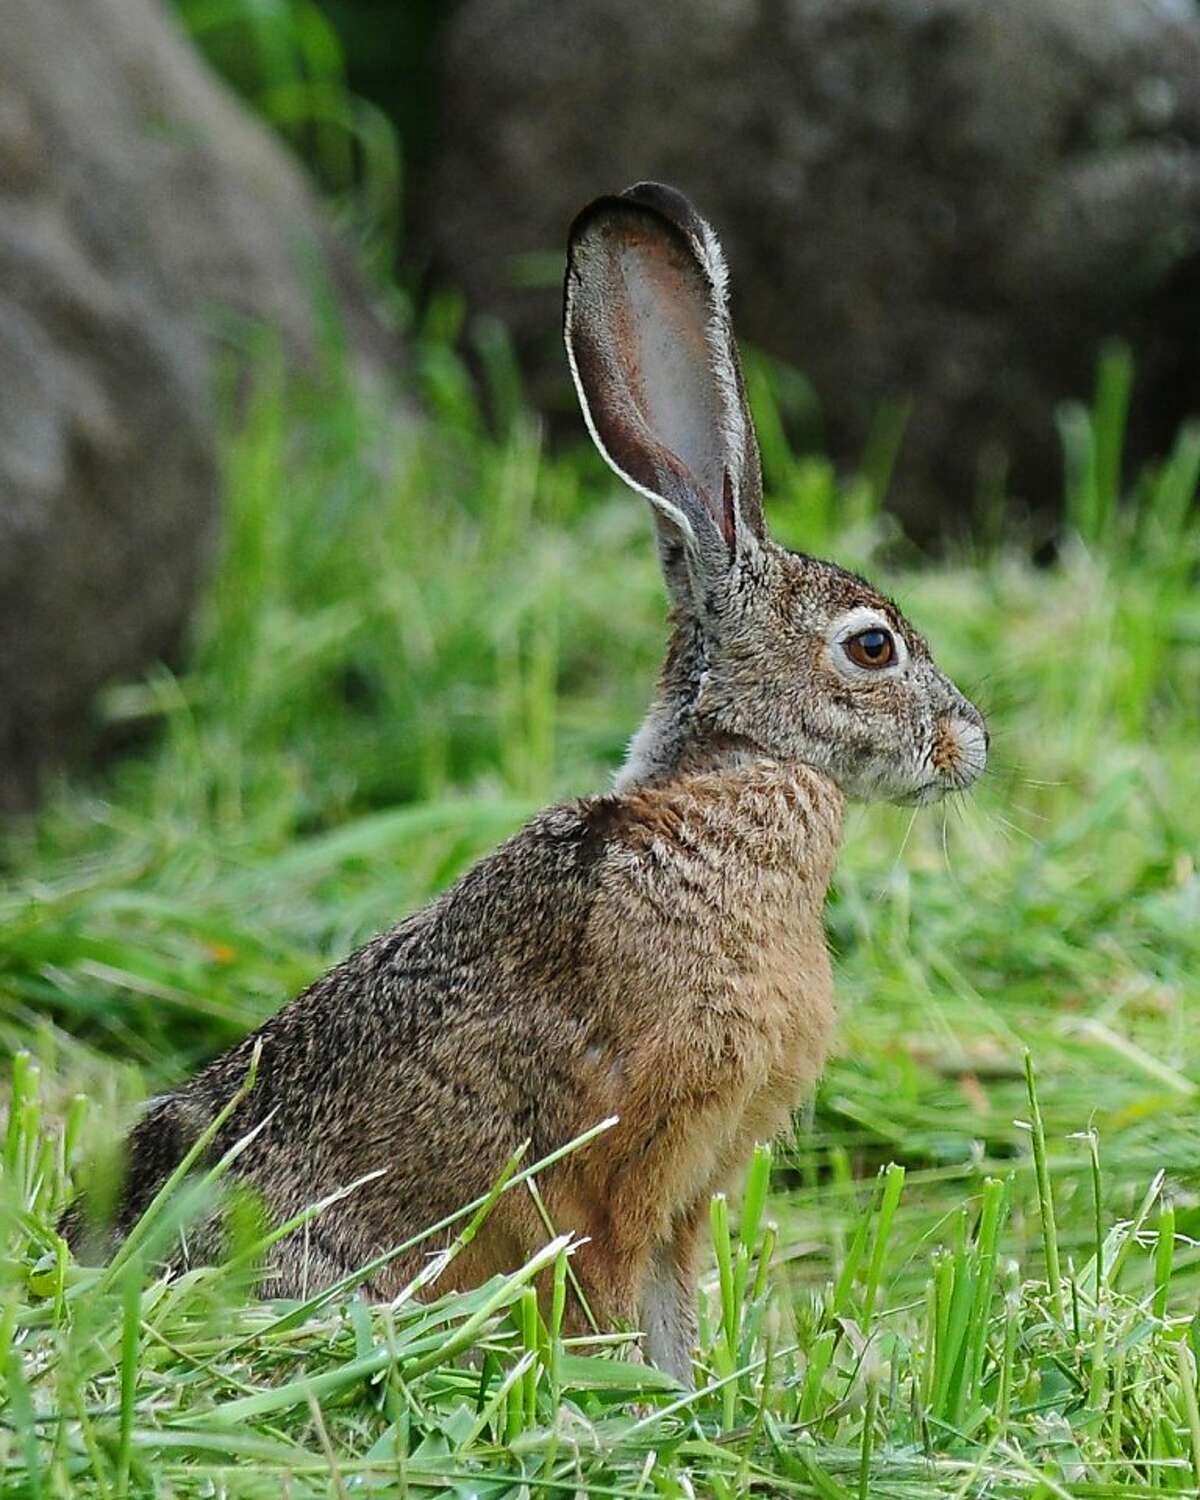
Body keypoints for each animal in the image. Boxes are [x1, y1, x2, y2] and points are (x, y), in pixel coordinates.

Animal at [63, 182, 987, 1385]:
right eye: (871, 647)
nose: (972, 744)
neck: (729, 784)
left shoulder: (687, 1192)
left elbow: (668, 1307)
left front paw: (689, 1398)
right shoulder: (621, 1165)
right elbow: (612, 1289)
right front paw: (634, 1398)